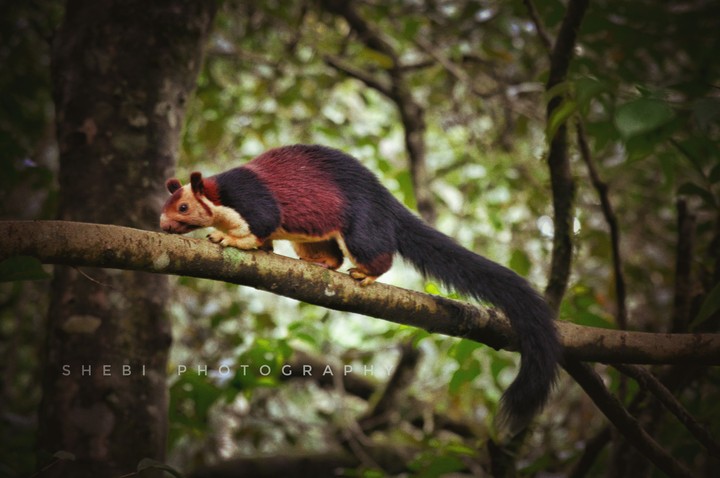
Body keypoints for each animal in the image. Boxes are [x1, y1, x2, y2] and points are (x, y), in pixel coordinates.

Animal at [160, 144, 560, 436]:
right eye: (168, 205)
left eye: (184, 207)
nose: (162, 226)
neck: (220, 198)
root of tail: (388, 204)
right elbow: (264, 242)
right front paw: (251, 244)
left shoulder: (253, 203)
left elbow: (259, 226)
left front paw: (228, 238)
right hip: (313, 234)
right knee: (332, 255)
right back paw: (323, 264)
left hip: (362, 225)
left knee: (374, 251)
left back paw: (366, 273)